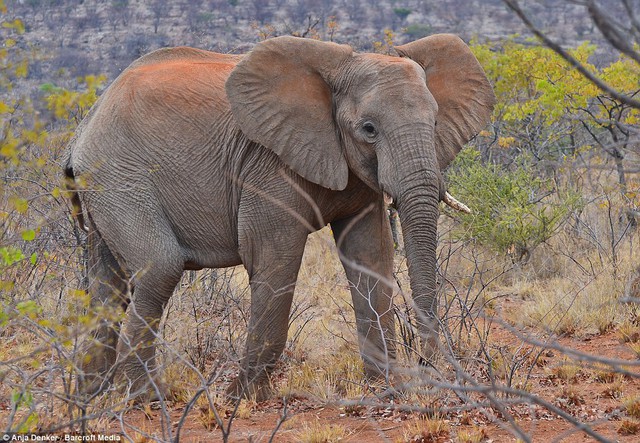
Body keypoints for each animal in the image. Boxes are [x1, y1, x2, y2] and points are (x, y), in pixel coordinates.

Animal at [63, 34, 496, 402]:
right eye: (369, 129)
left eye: (436, 122)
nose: (427, 366)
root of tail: (86, 124)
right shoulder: (268, 164)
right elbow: (274, 257)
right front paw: (243, 398)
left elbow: (370, 255)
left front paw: (386, 389)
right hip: (118, 177)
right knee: (159, 269)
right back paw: (145, 399)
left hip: (103, 186)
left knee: (107, 285)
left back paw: (89, 400)